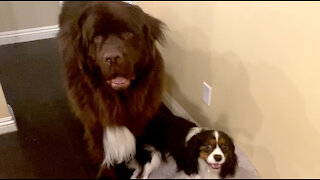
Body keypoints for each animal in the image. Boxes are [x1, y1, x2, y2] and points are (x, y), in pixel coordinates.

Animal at [57, 1, 165, 179]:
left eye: (128, 34)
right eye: (97, 38)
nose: (113, 58)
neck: (119, 98)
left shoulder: (138, 117)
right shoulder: (94, 120)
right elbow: (102, 149)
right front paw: (107, 171)